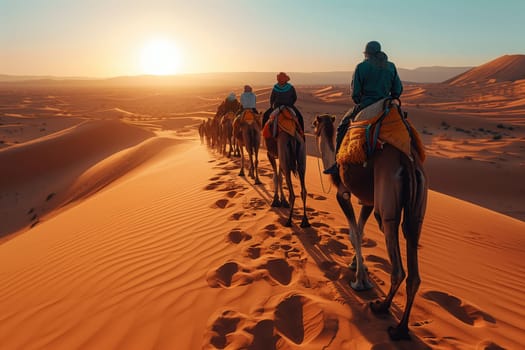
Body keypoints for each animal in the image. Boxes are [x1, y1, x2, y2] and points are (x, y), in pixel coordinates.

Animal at [312, 98, 426, 340]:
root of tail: (407, 160)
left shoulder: (344, 194)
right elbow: (360, 231)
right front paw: (357, 265)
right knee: (413, 263)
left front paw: (360, 281)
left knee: (397, 263)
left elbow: (354, 233)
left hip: (387, 204)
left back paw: (381, 308)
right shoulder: (367, 200)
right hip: (418, 206)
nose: (311, 125)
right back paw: (401, 328)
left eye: (316, 122)